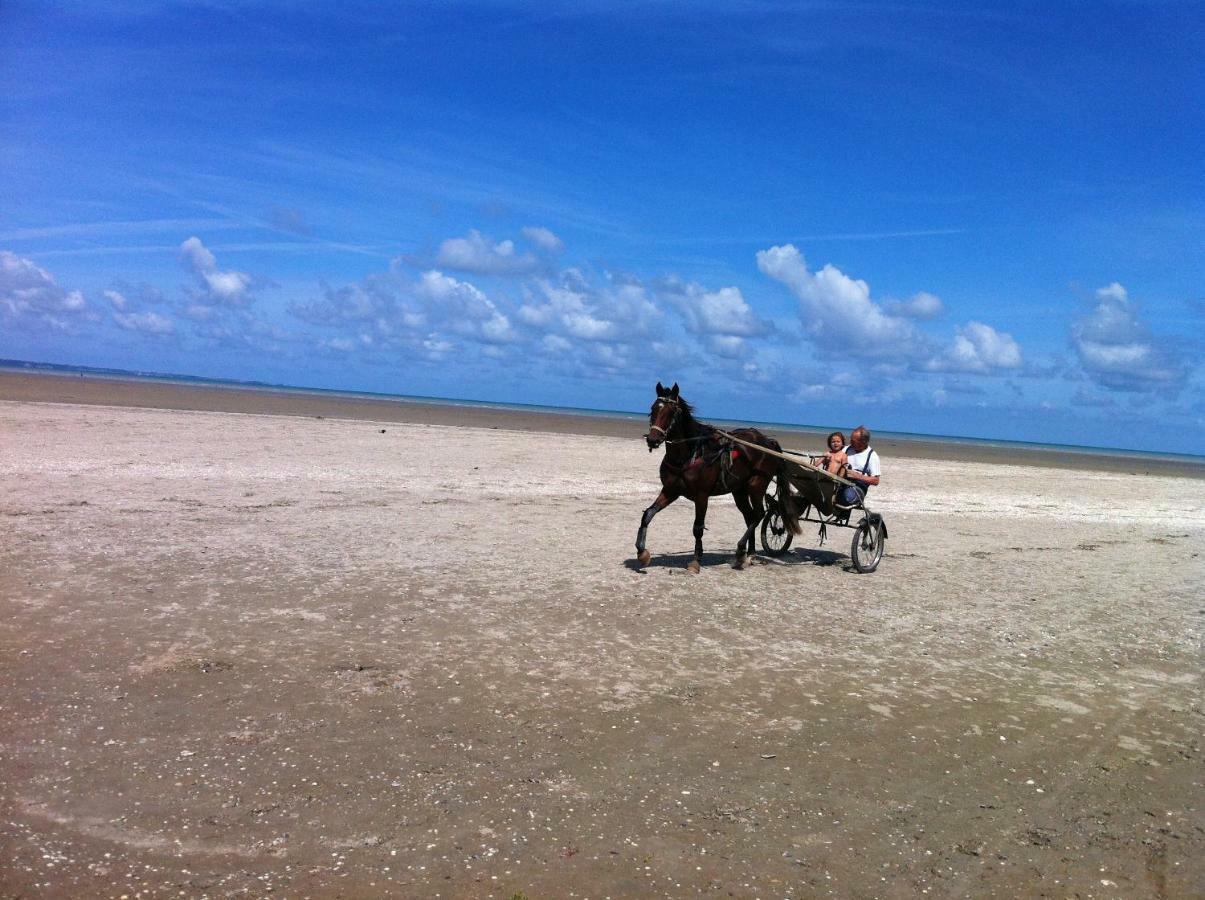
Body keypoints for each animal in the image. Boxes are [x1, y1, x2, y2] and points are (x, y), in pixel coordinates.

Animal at [631, 383, 800, 573]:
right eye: (653, 409)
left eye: (670, 412)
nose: (653, 440)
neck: (690, 454)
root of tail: (768, 442)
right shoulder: (670, 491)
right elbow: (648, 514)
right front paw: (642, 553)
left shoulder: (701, 495)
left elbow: (697, 528)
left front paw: (696, 560)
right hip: (739, 491)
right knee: (750, 517)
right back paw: (748, 555)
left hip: (757, 485)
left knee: (758, 515)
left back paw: (741, 550)